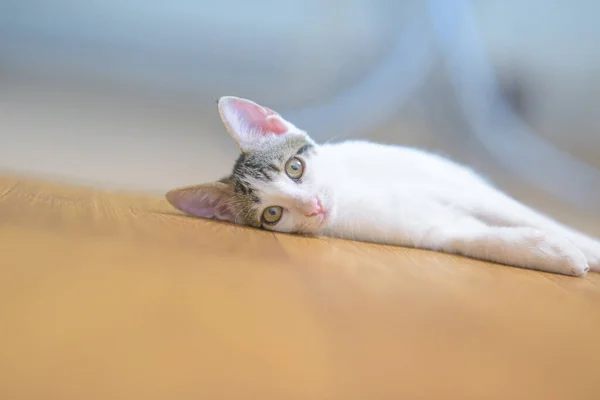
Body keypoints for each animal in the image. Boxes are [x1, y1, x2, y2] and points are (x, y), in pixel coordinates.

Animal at [165, 95, 600, 276]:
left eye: (294, 168)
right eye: (273, 213)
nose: (314, 207)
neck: (351, 192)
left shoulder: (463, 185)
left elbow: (528, 214)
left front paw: (585, 244)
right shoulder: (432, 230)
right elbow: (477, 237)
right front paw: (551, 251)